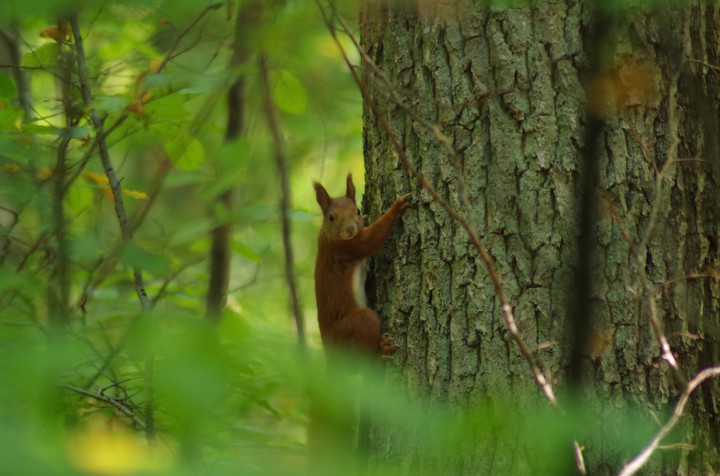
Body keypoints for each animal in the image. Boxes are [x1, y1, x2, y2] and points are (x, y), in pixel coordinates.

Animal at [310, 173, 408, 356]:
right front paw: (396, 207)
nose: (350, 229)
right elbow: (372, 239)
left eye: (357, 210)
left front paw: (365, 219)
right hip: (358, 323)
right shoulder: (345, 247)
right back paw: (382, 350)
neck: (328, 236)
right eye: (331, 217)